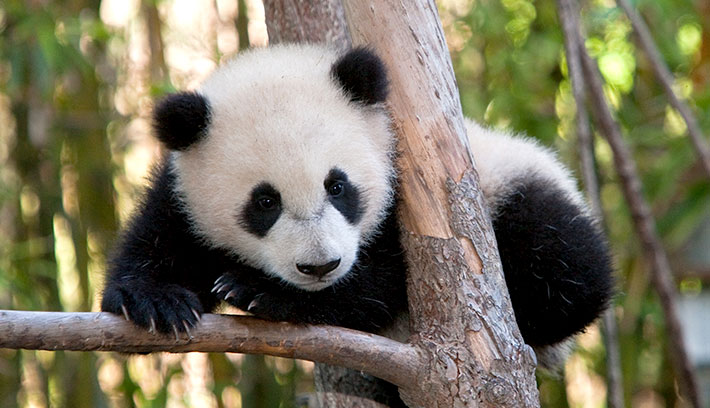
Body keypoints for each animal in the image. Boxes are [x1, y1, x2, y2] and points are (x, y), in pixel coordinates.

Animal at [103, 43, 616, 372]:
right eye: (265, 202)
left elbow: (385, 280)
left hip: (518, 187)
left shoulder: (413, 195)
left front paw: (260, 292)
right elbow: (160, 241)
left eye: (337, 186)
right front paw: (156, 302)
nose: (319, 266)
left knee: (567, 271)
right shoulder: (183, 194)